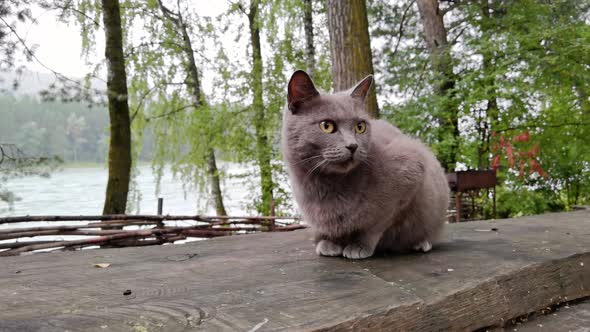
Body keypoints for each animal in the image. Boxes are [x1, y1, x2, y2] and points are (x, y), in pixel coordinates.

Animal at [282, 70, 448, 260]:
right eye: (327, 126)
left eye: (360, 127)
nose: (353, 146)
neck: (325, 186)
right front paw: (330, 243)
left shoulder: (410, 170)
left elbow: (375, 225)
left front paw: (359, 246)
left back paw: (420, 243)